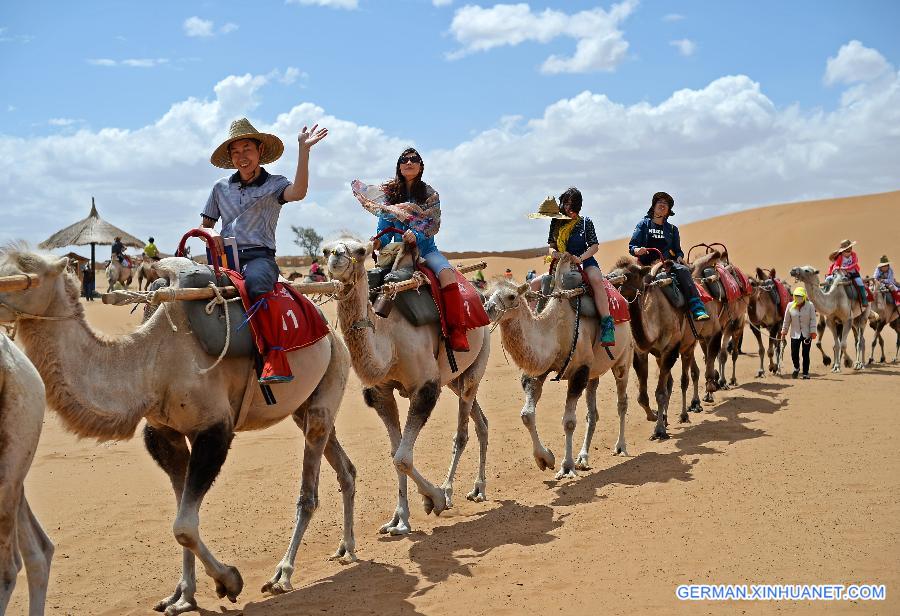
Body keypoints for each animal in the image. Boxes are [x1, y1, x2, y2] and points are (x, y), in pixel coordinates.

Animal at [0, 247, 358, 616]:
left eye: (22, 276)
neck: (150, 363)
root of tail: (330, 332)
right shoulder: (164, 434)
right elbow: (181, 513)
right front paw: (183, 595)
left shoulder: (214, 429)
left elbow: (184, 525)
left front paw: (229, 582)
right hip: (307, 404)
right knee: (343, 466)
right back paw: (346, 548)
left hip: (331, 378)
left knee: (308, 493)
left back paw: (283, 574)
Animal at [324, 236, 492, 536]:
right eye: (324, 249)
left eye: (361, 251)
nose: (336, 256)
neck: (388, 339)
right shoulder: (380, 393)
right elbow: (395, 452)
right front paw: (399, 520)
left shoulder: (425, 387)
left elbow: (403, 457)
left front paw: (434, 499)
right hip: (454, 378)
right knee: (480, 420)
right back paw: (477, 488)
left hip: (478, 361)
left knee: (462, 432)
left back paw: (453, 491)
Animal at [486, 253, 632, 478]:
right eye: (486, 295)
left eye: (511, 296)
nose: (488, 308)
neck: (554, 329)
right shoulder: (540, 370)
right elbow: (527, 415)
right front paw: (545, 459)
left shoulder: (580, 371)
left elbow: (569, 422)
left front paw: (567, 466)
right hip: (594, 372)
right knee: (592, 412)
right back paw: (583, 457)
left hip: (623, 359)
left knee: (622, 402)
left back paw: (621, 447)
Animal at [604, 258, 704, 440]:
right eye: (610, 273)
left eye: (629, 274)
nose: (609, 281)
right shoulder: (641, 353)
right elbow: (643, 396)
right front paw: (655, 417)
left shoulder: (670, 350)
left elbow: (661, 393)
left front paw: (659, 431)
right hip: (660, 356)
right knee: (670, 382)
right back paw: (665, 417)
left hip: (688, 345)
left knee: (685, 379)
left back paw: (684, 414)